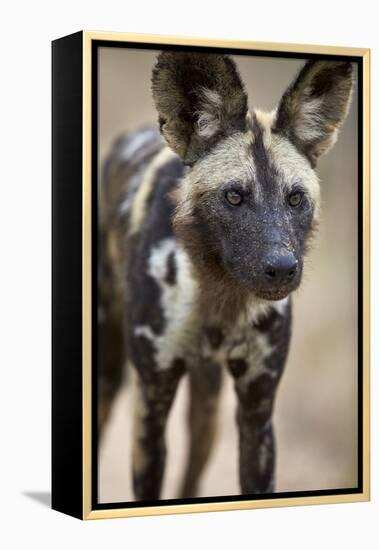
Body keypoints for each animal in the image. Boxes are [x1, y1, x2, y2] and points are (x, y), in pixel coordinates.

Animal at [99, 54, 354, 502]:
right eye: (234, 196)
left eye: (295, 198)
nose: (282, 267)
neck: (219, 297)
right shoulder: (151, 409)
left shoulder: (256, 412)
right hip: (107, 379)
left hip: (208, 409)